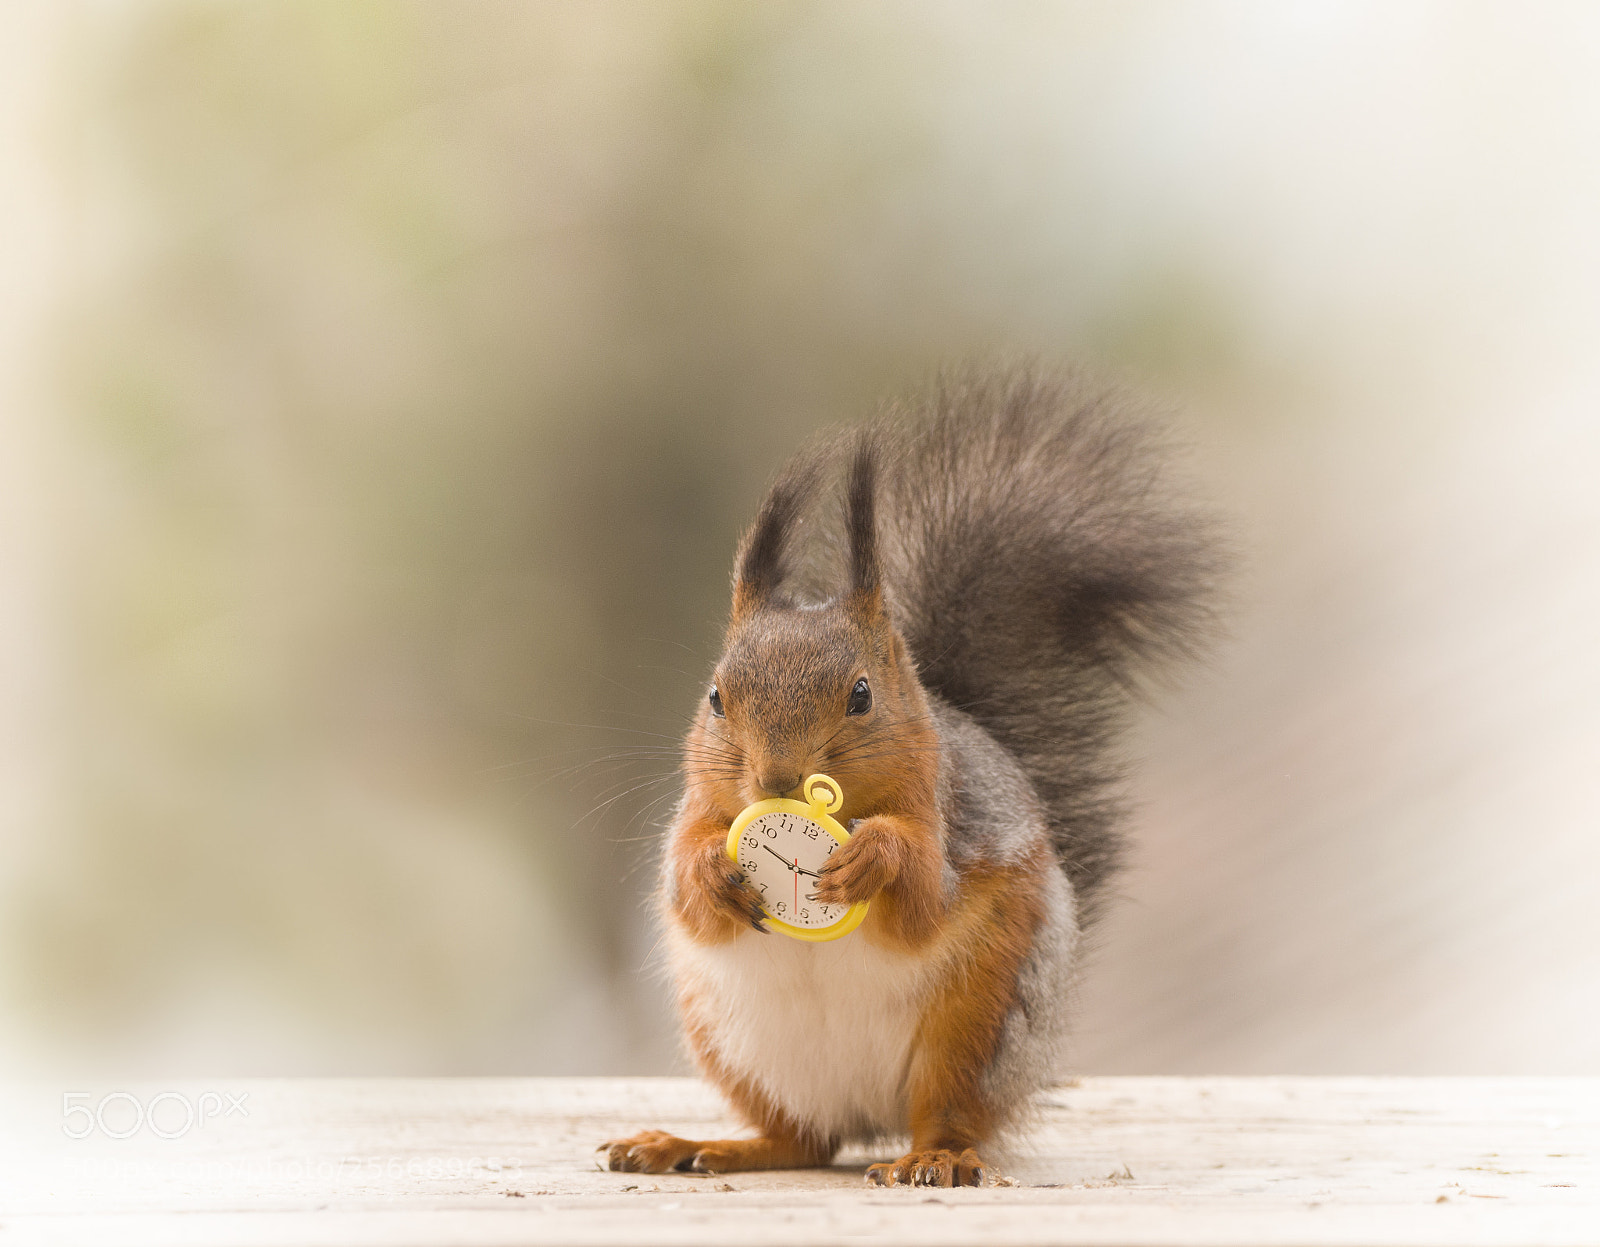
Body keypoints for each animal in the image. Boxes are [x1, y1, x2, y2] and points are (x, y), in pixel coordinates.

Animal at [602, 363, 1220, 1187]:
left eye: (861, 695)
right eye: (715, 697)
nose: (776, 779)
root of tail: (872, 1116)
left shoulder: (947, 817)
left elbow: (926, 895)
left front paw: (873, 855)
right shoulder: (696, 810)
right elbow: (685, 886)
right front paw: (711, 870)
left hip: (982, 1022)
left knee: (944, 1114)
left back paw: (934, 1157)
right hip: (733, 1042)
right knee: (799, 1139)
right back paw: (697, 1144)